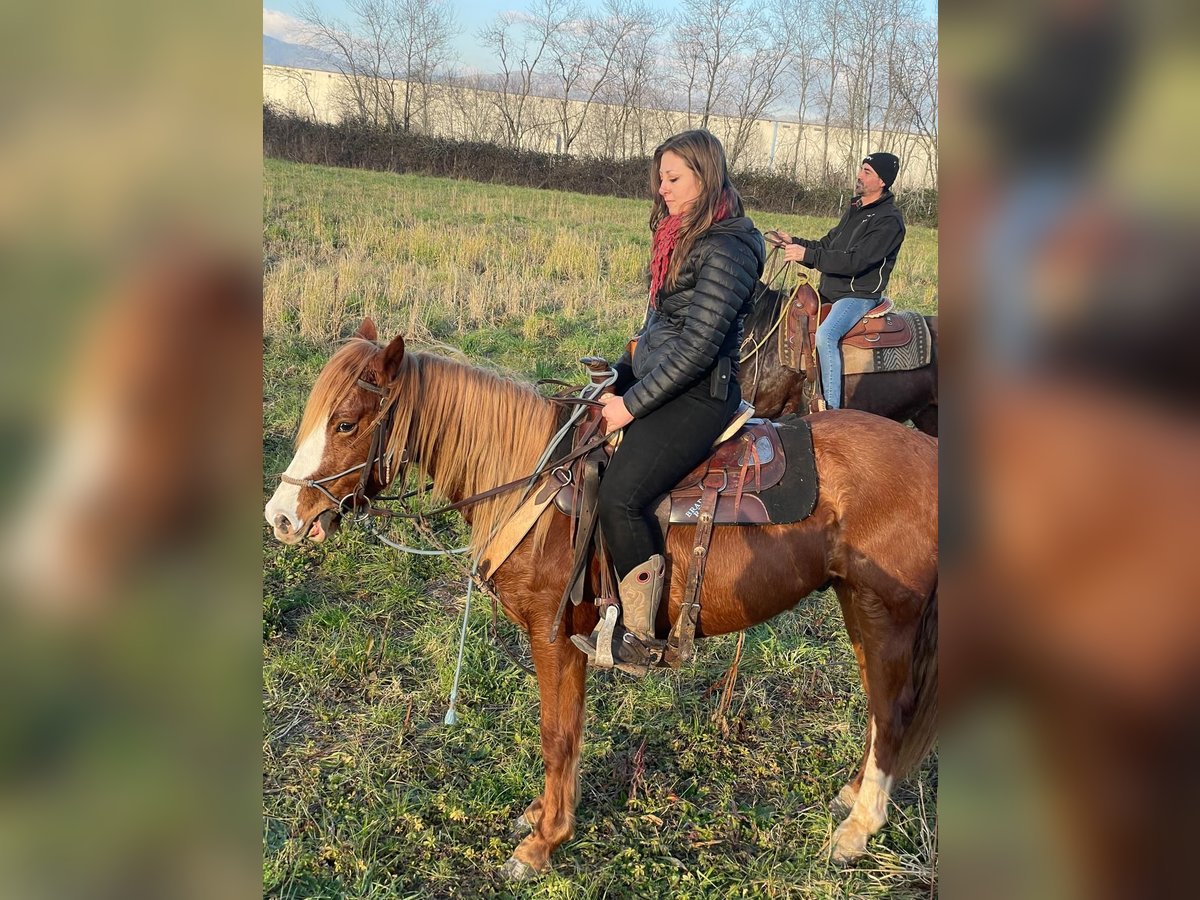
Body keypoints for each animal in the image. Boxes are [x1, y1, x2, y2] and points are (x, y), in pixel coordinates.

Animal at [264, 318, 939, 879]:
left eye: (346, 423)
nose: (281, 518)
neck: (534, 484)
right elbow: (566, 731)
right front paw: (542, 814)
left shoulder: (555, 635)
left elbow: (557, 734)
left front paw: (543, 842)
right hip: (857, 604)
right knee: (879, 709)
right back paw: (852, 796)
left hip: (887, 612)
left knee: (893, 711)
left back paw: (857, 830)